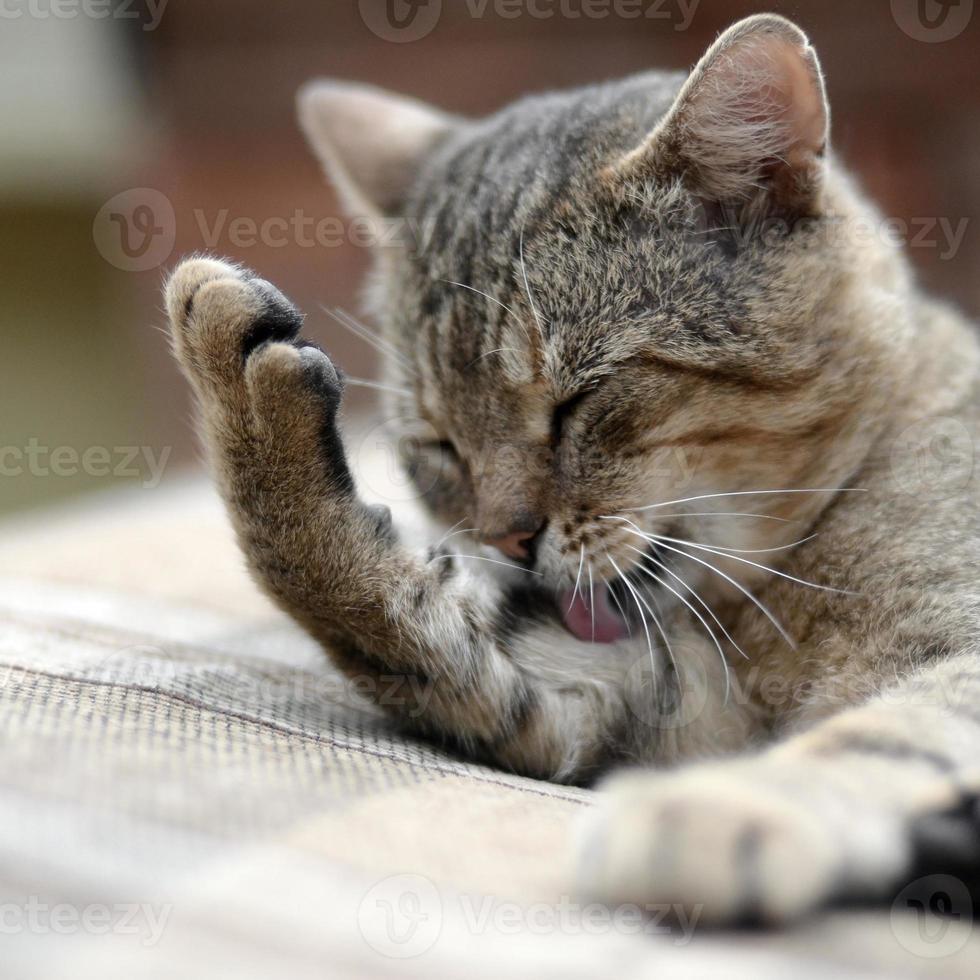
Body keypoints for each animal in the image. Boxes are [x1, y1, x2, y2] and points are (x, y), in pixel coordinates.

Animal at [165, 13, 976, 920]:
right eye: (438, 444)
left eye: (575, 403)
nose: (507, 540)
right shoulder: (639, 702)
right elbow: (372, 617)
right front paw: (242, 396)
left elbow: (886, 731)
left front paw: (723, 810)